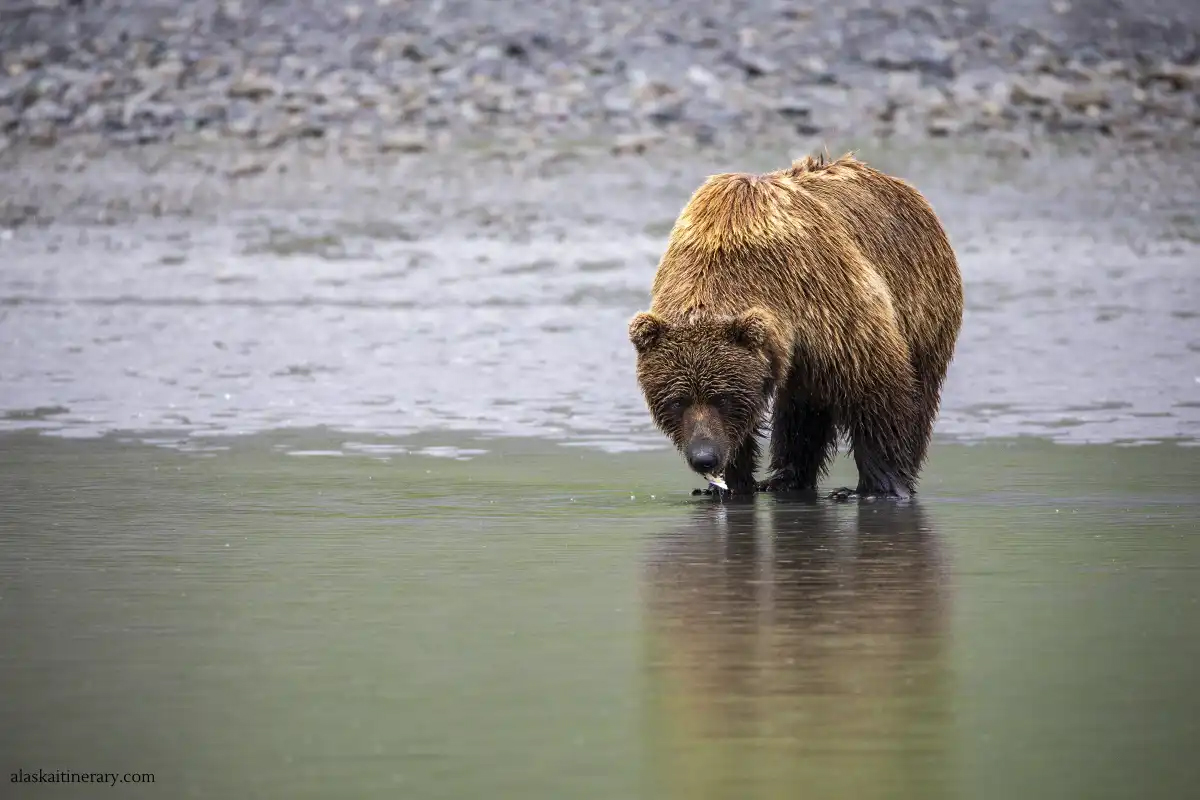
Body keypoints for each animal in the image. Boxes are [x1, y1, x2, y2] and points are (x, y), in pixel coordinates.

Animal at [628, 152, 963, 500]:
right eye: (677, 400)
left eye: (722, 398)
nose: (704, 457)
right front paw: (729, 483)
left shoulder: (826, 298)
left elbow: (875, 384)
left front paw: (879, 488)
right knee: (802, 406)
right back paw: (785, 479)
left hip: (924, 302)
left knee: (919, 391)